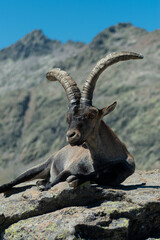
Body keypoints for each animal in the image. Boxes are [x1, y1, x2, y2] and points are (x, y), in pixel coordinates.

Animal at [0, 51, 142, 193]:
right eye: (68, 118)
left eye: (92, 115)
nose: (71, 136)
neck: (101, 159)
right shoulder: (70, 168)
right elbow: (58, 179)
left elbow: (97, 175)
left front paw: (76, 179)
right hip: (44, 165)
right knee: (20, 178)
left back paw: (41, 182)